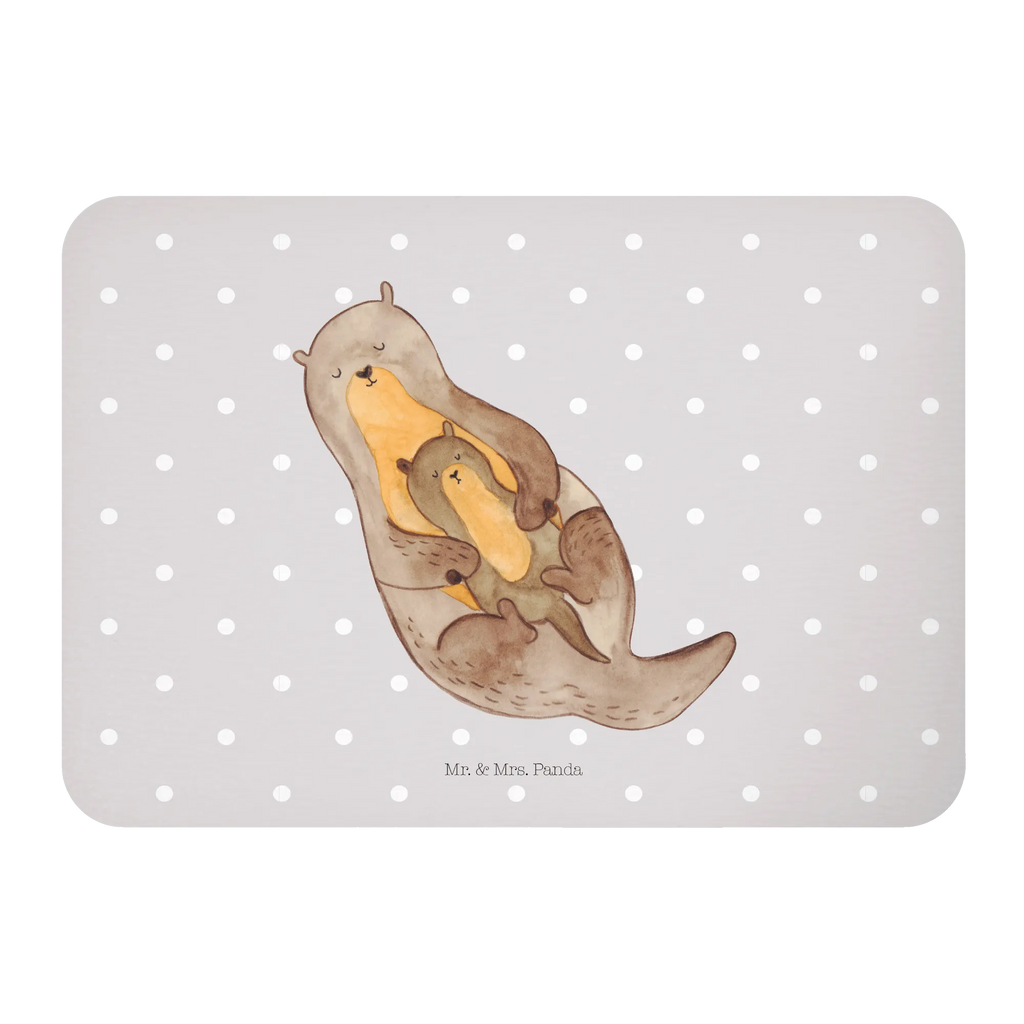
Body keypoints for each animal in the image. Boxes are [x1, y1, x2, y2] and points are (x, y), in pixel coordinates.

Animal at [397, 422, 609, 664]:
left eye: (457, 455)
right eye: (433, 474)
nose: (453, 473)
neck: (473, 502)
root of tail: (550, 604)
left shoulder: (513, 499)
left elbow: (527, 517)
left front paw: (546, 509)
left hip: (550, 551)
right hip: (499, 600)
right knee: (522, 628)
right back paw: (514, 611)